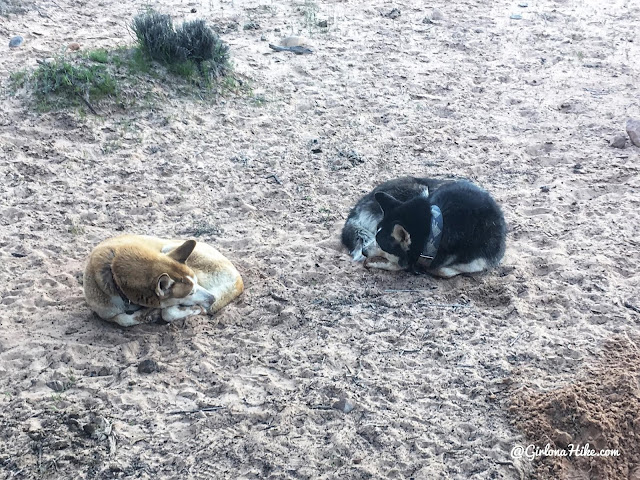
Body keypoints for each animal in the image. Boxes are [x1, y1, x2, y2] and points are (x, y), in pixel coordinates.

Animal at [84, 235, 244, 328]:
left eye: (197, 283)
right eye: (190, 292)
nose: (212, 298)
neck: (113, 271)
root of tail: (238, 281)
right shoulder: (105, 312)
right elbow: (122, 320)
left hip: (170, 248)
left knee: (168, 313)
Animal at [340, 177, 504, 278]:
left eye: (381, 244)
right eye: (375, 237)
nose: (364, 251)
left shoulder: (481, 262)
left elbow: (441, 270)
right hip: (421, 191)